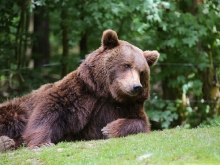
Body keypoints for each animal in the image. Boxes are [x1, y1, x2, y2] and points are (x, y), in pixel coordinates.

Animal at [0, 29, 158, 151]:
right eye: (126, 65)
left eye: (142, 72)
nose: (136, 86)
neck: (107, 92)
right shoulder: (79, 94)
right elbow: (48, 112)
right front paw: (42, 143)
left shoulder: (127, 106)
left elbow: (140, 122)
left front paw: (109, 129)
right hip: (17, 109)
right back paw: (6, 142)